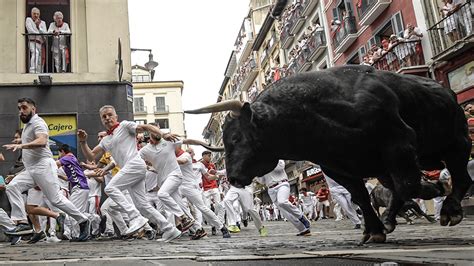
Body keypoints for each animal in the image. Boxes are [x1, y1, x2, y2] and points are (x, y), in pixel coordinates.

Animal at [187, 65, 472, 244]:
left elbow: (408, 185)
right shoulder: (336, 166)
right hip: (389, 167)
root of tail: (445, 90)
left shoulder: (400, 142)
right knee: (398, 192)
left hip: (457, 142)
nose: (233, 178)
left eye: (236, 138)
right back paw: (391, 219)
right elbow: (362, 198)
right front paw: (374, 231)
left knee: (460, 177)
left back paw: (450, 210)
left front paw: (433, 188)